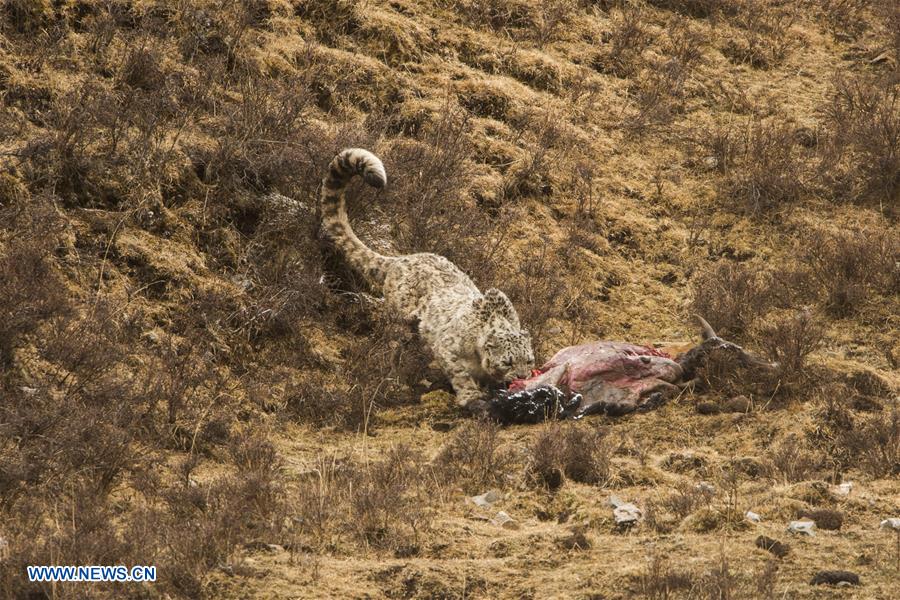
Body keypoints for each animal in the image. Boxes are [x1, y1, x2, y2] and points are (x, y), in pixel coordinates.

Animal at [320, 148, 532, 410]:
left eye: (529, 360)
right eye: (508, 361)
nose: (522, 377)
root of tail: (401, 259)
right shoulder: (448, 349)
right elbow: (461, 375)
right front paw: (472, 398)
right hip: (399, 319)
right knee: (393, 345)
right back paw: (396, 375)